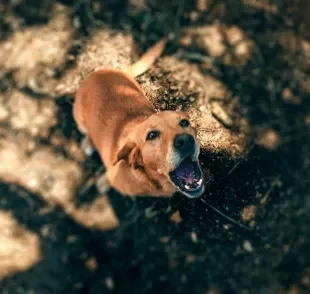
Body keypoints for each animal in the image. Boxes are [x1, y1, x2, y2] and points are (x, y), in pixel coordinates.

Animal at [73, 37, 206, 198]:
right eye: (152, 135)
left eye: (184, 122)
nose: (185, 141)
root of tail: (104, 71)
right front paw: (102, 184)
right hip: (80, 120)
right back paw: (88, 144)